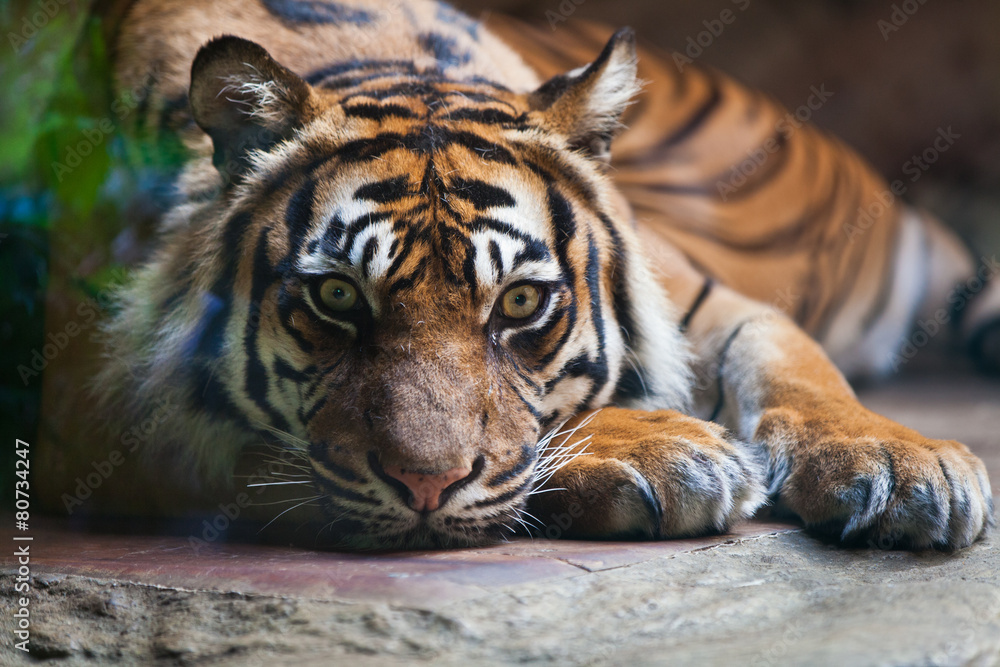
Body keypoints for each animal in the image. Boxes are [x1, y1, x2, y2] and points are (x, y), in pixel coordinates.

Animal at [60, 0, 994, 550]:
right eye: (335, 296)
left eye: (518, 301)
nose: (424, 485)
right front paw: (665, 449)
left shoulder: (706, 295)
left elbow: (795, 360)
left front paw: (898, 462)